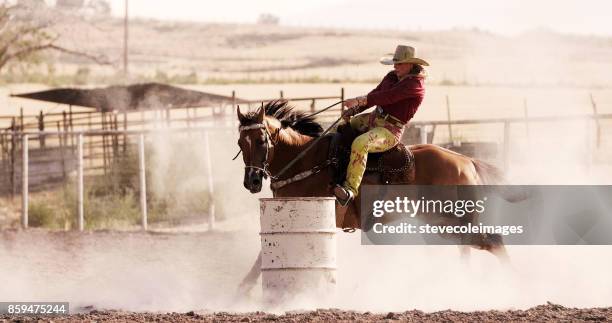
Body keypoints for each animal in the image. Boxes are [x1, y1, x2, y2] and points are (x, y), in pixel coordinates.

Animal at [237, 100, 510, 292]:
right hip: (443, 223)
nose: (252, 181)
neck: (305, 160)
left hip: (451, 220)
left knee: (492, 242)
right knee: (476, 245)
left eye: (261, 140)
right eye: (240, 143)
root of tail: (467, 161)